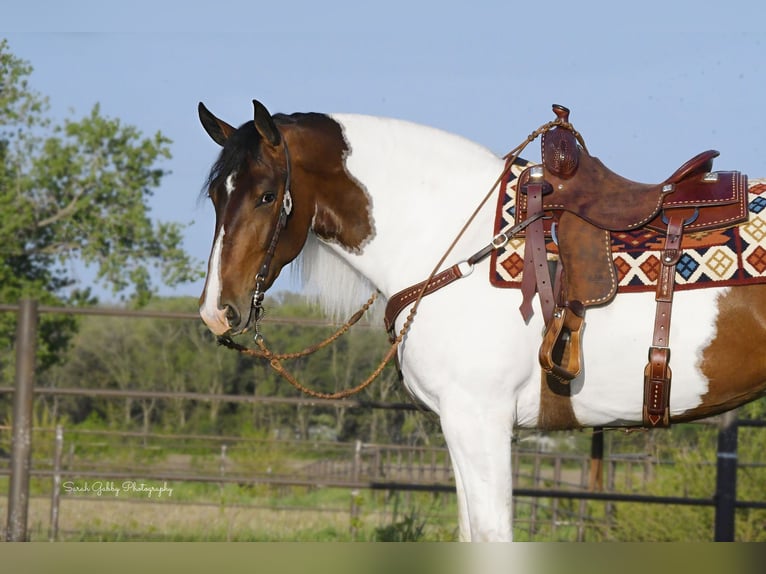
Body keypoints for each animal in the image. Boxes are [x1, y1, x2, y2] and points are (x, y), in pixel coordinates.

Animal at [196, 100, 766, 544]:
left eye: (267, 195)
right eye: (217, 196)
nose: (217, 312)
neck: (449, 235)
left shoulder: (479, 419)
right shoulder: (459, 424)